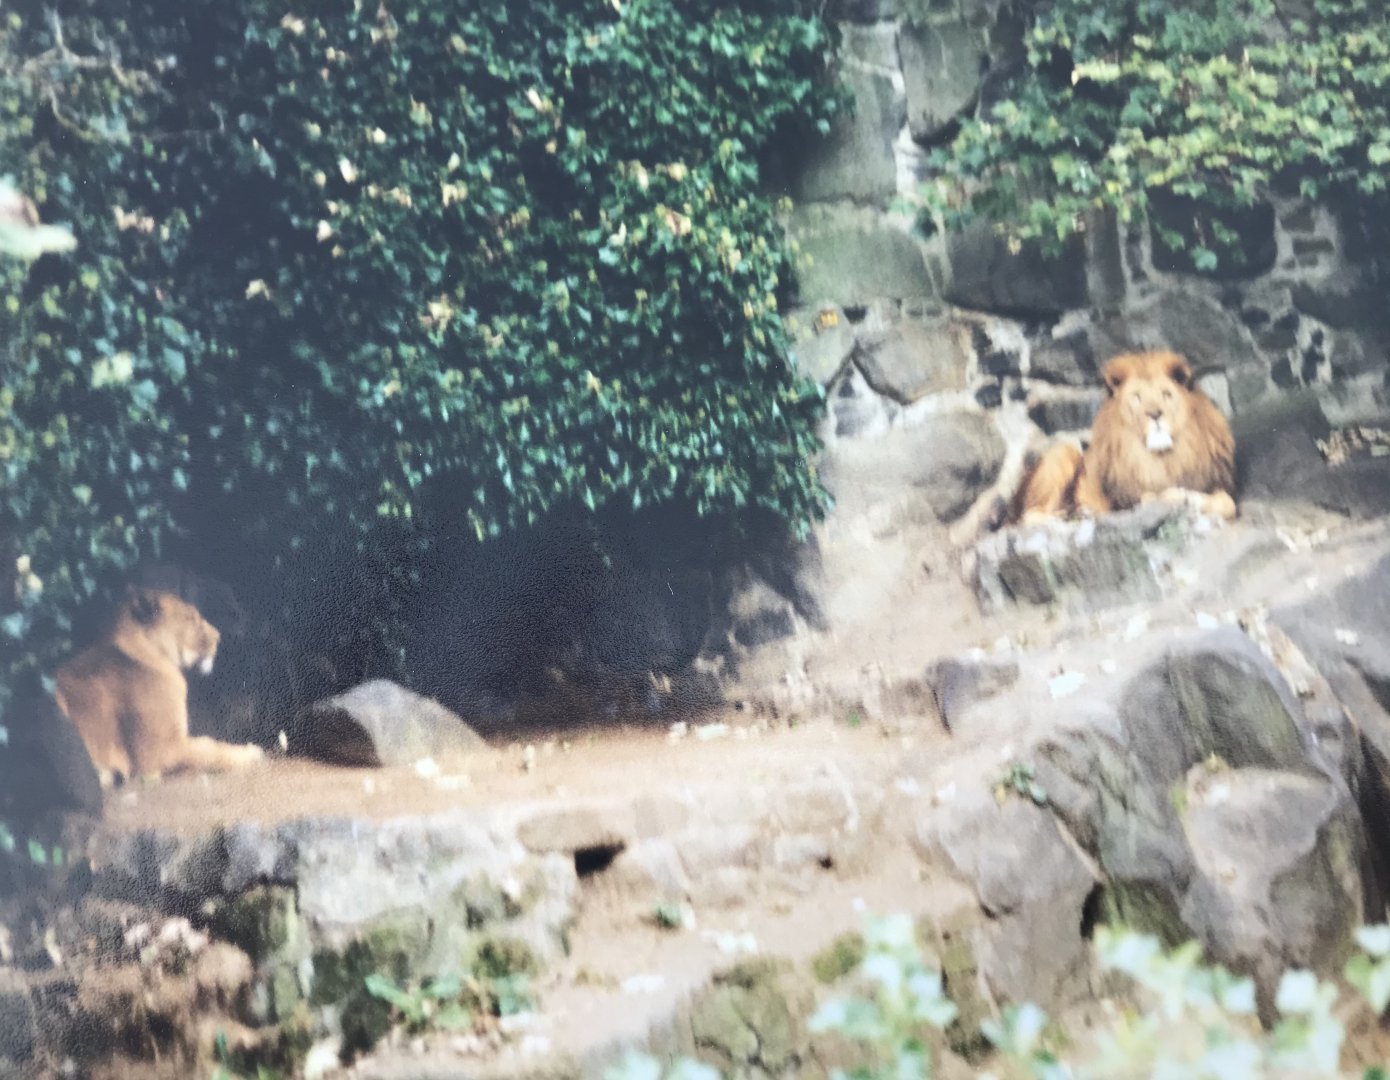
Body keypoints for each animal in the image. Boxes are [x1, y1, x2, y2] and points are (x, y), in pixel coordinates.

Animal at [1016, 349, 1236, 523]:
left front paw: (1187, 497)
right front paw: (1172, 496)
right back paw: (1067, 516)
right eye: (1137, 398)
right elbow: (1151, 496)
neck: (1161, 457)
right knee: (1028, 517)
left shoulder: (1213, 485)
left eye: (1166, 394)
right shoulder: (1127, 501)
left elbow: (1228, 504)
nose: (1154, 413)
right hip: (1064, 452)